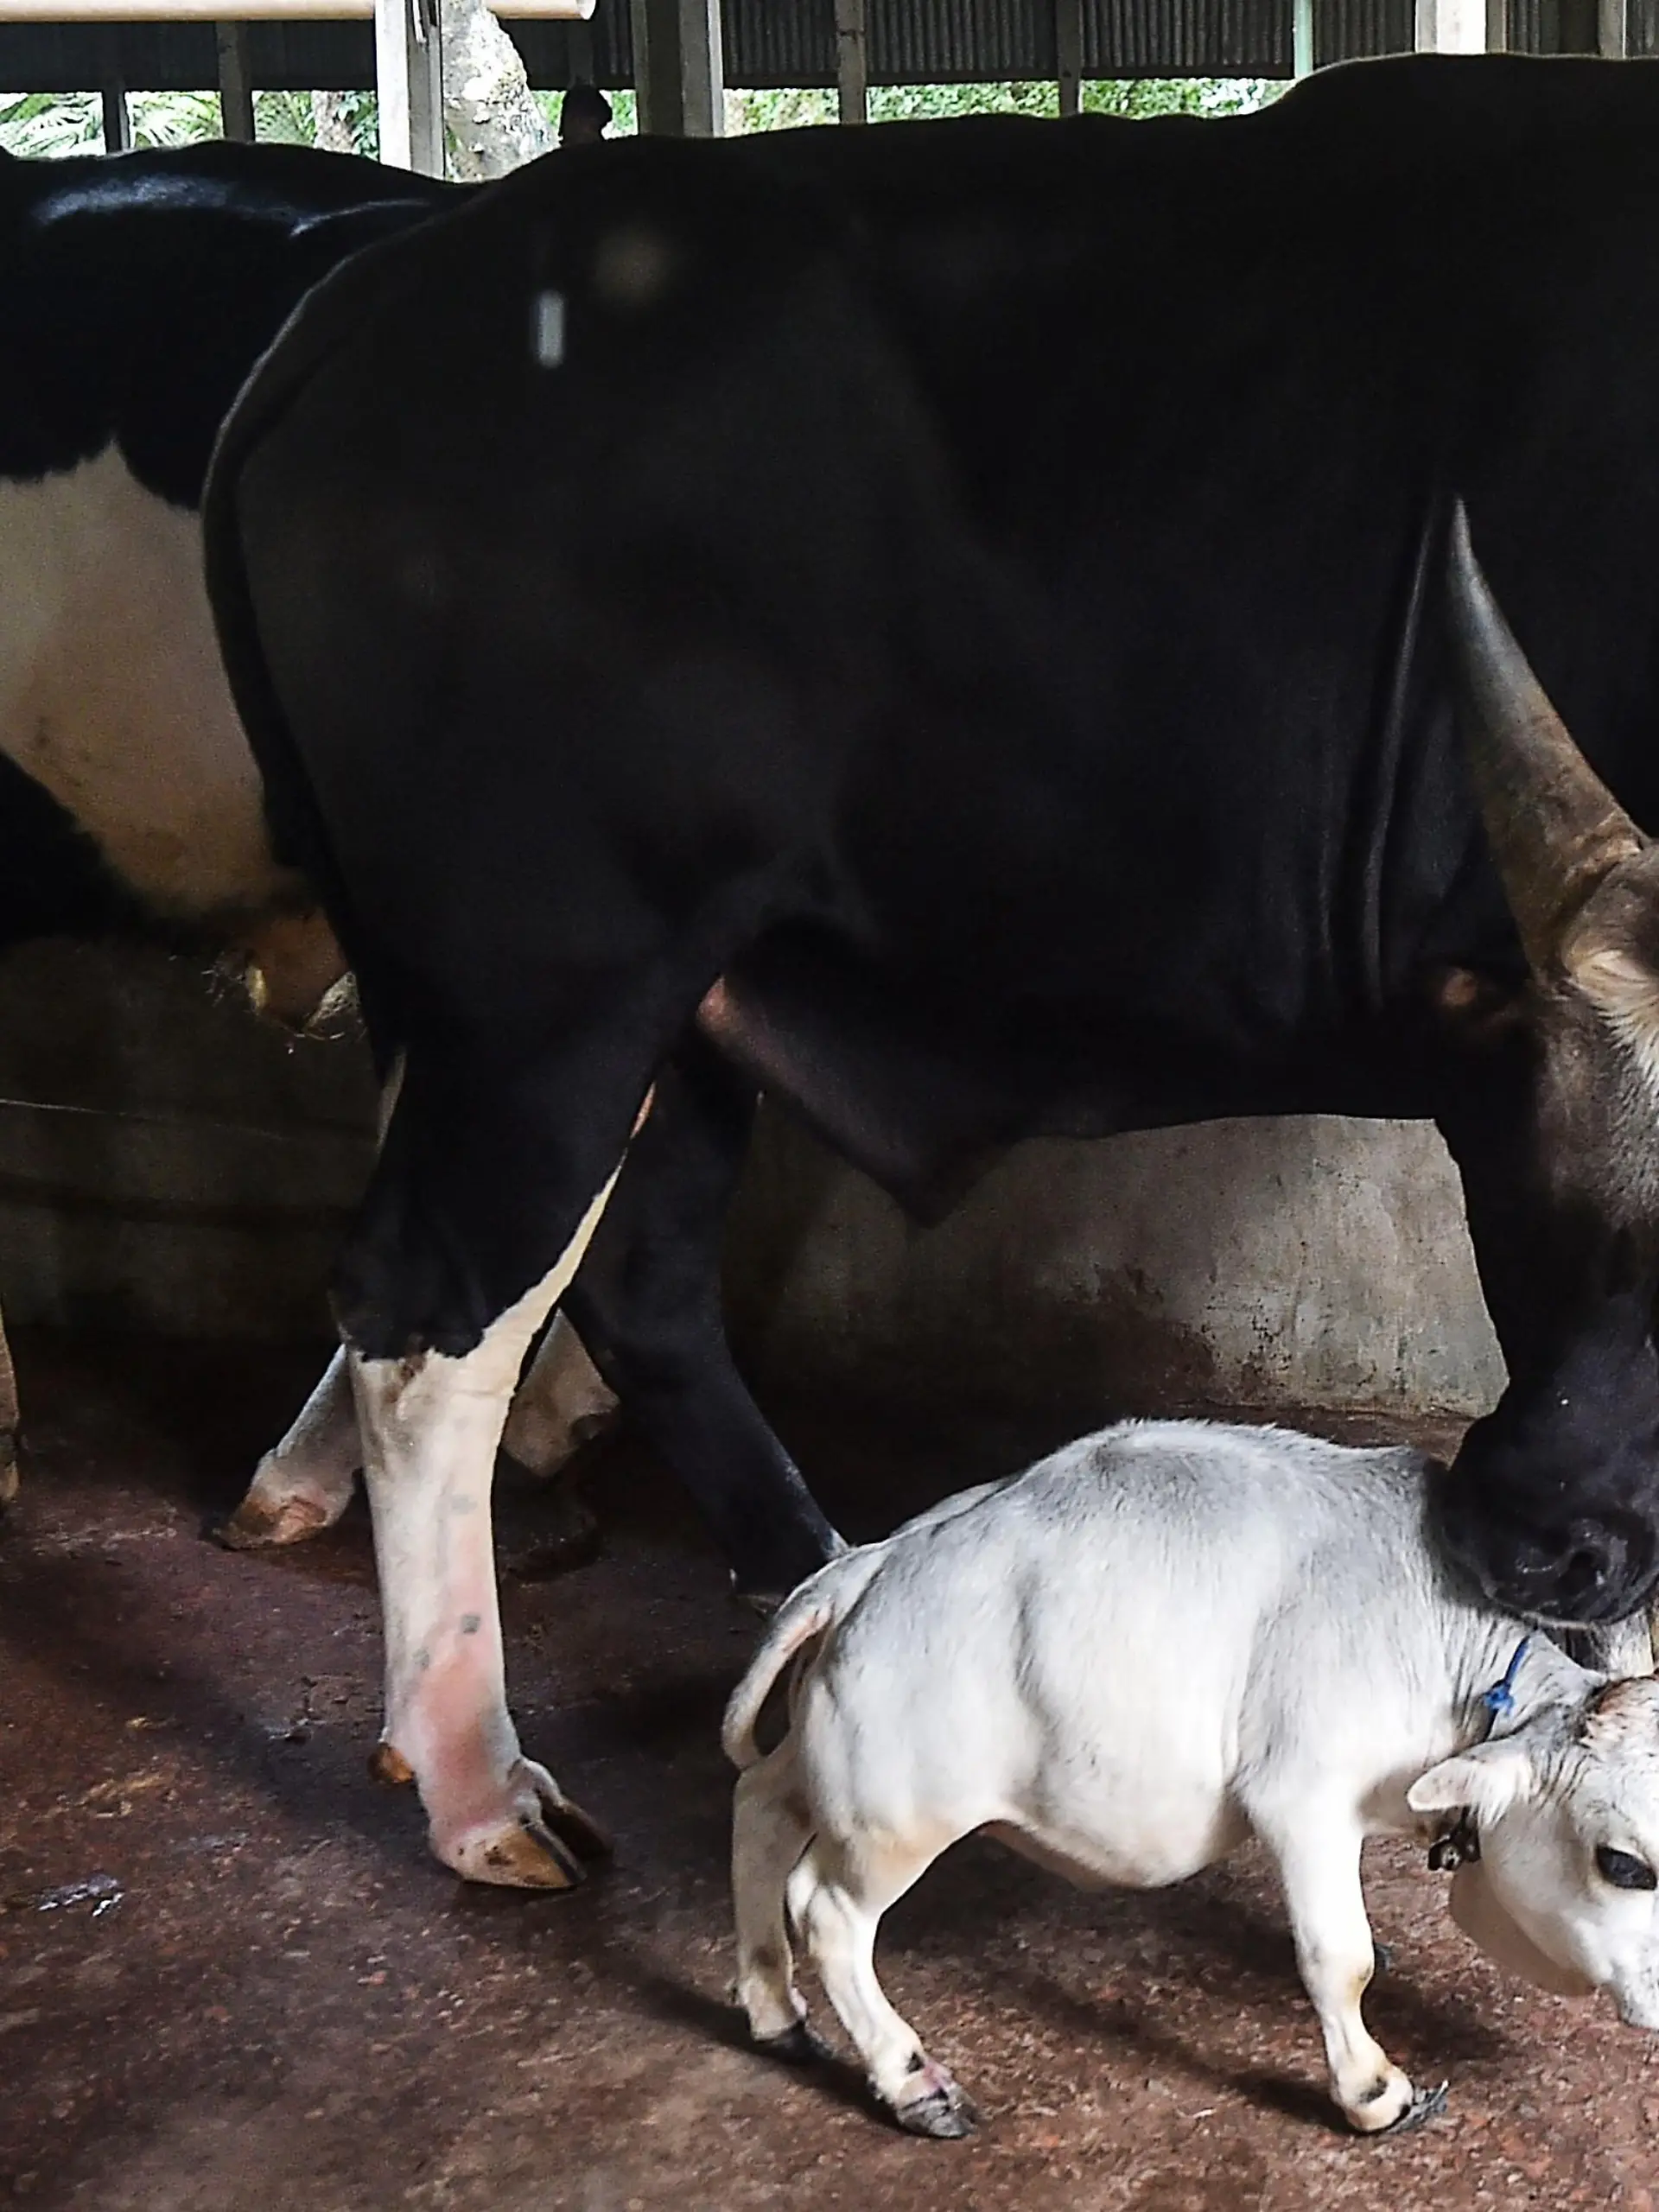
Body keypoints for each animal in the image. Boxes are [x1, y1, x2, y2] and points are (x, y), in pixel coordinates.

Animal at [201, 52, 1659, 1890]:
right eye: (1561, 1201)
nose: (1535, 1541)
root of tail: (376, 285)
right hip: (547, 994)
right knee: (430, 1316)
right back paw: (477, 1779)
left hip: (676, 1003)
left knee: (635, 1282)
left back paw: (813, 1568)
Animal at [725, 1420, 1659, 2139]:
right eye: (1622, 1863)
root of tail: (868, 1566)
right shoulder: (1302, 1797)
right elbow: (1340, 1956)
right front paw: (1373, 2092)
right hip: (898, 1815)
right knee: (829, 1912)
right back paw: (912, 2081)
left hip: (822, 1766)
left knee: (759, 1809)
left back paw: (774, 2006)